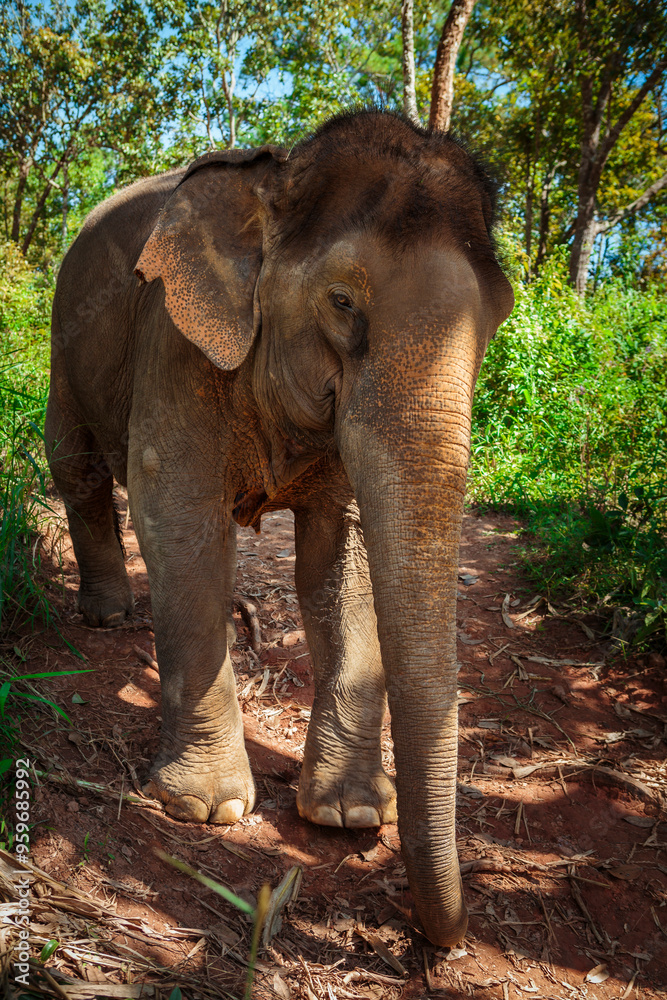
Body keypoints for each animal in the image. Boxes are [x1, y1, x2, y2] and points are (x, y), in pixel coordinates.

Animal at [45, 110, 514, 947]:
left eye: (497, 319)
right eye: (342, 301)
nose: (441, 938)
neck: (279, 176)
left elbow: (340, 558)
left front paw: (348, 815)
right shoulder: (174, 339)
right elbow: (181, 525)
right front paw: (207, 809)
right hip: (66, 341)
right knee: (76, 465)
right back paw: (106, 616)